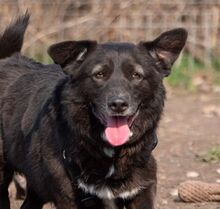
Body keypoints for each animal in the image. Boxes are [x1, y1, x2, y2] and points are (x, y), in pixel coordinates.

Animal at [0, 13, 187, 209]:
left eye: (136, 75)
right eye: (99, 74)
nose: (118, 104)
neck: (112, 155)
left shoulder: (141, 191)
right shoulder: (69, 199)